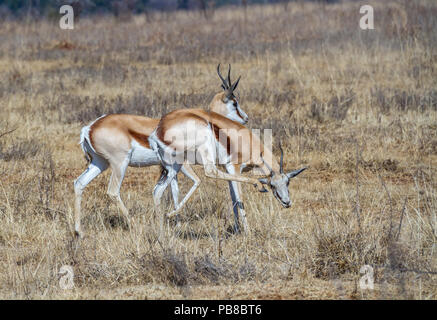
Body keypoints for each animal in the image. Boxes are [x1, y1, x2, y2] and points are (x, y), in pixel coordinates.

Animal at [73, 63, 247, 238]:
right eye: (234, 103)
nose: (245, 118)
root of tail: (89, 127)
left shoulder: (171, 170)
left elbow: (175, 192)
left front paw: (176, 225)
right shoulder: (183, 165)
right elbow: (189, 185)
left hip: (100, 163)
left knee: (79, 183)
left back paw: (79, 231)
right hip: (120, 164)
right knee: (113, 191)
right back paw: (134, 225)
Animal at [148, 109, 304, 232]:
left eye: (288, 182)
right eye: (272, 185)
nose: (287, 202)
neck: (249, 143)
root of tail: (157, 131)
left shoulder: (228, 171)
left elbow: (233, 198)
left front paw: (237, 229)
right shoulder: (233, 167)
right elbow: (240, 197)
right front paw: (247, 232)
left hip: (173, 166)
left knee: (157, 191)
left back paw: (162, 234)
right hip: (195, 153)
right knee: (208, 172)